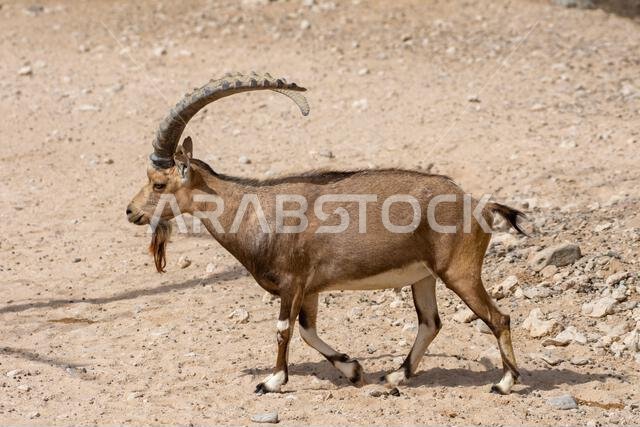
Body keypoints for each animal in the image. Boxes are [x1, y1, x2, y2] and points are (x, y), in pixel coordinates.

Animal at [126, 72, 525, 396]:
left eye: (159, 183)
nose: (131, 211)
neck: (256, 211)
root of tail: (478, 205)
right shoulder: (310, 289)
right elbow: (307, 330)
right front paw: (353, 369)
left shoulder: (293, 282)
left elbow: (283, 329)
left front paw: (272, 381)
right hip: (423, 277)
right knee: (430, 322)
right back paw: (395, 376)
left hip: (459, 272)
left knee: (498, 318)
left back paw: (504, 382)